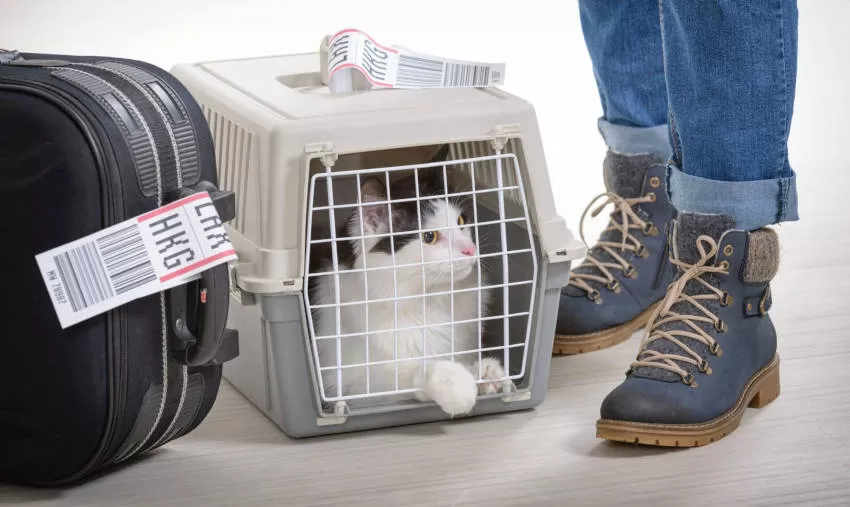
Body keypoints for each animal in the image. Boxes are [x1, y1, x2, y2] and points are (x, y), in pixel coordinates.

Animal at [310, 155, 510, 416]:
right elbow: (412, 374)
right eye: (429, 237)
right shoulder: (348, 386)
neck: (428, 301)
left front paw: (485, 373)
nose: (470, 249)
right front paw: (458, 385)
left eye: (460, 221)